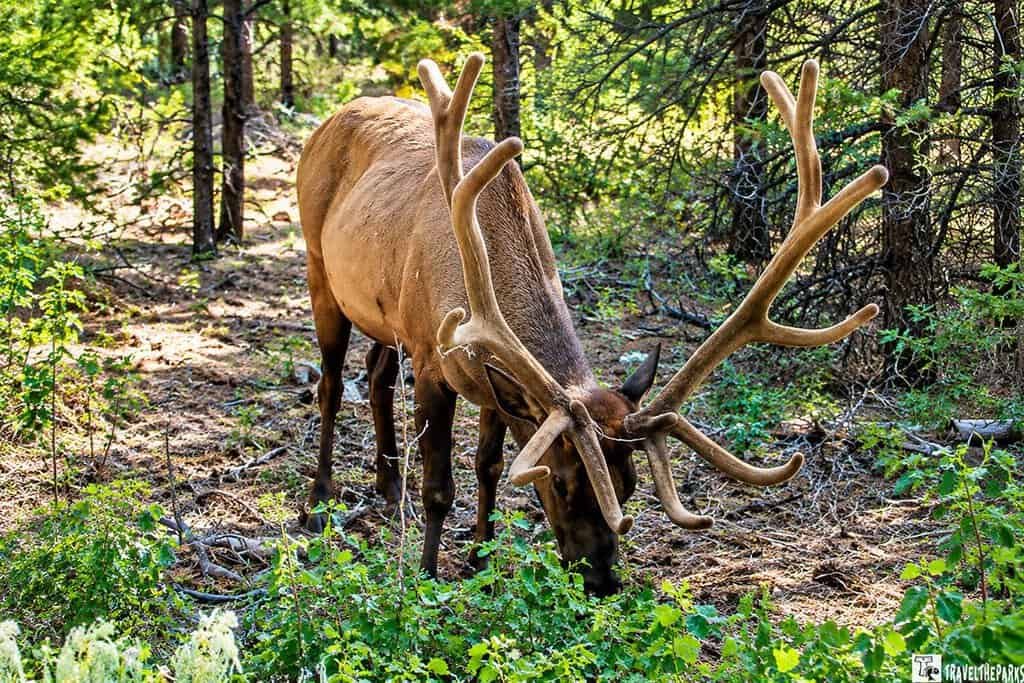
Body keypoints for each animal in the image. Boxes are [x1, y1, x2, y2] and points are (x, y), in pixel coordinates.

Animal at [295, 54, 888, 595]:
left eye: (630, 486)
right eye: (558, 482)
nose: (602, 579)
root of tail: (329, 119)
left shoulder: (491, 384)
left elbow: (489, 465)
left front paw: (480, 560)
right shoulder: (430, 356)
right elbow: (440, 485)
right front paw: (426, 576)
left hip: (379, 312)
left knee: (375, 374)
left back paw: (388, 483)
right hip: (321, 270)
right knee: (332, 384)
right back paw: (318, 501)